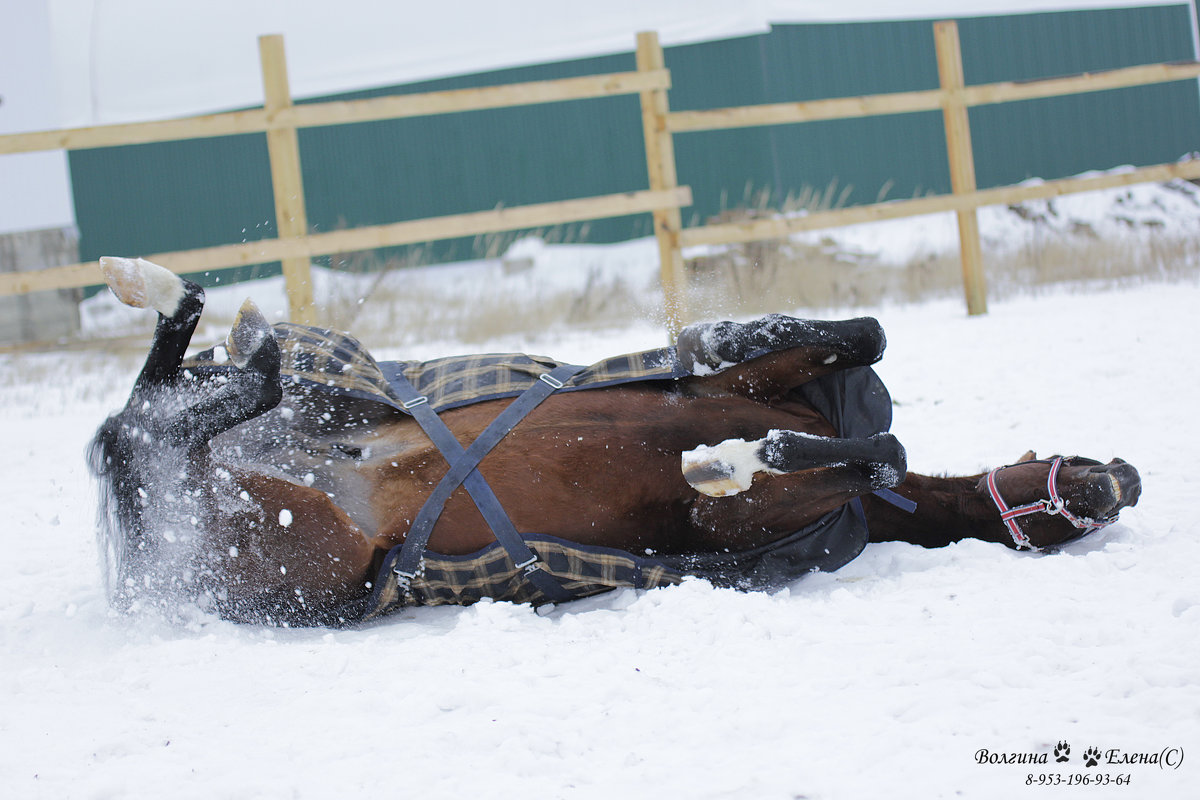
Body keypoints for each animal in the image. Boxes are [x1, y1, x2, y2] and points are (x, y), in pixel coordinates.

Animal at [88, 256, 1137, 623]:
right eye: (1074, 484)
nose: (1124, 477)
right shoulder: (740, 389)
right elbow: (864, 344)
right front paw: (731, 426)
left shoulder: (725, 532)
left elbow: (863, 454)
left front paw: (732, 460)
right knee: (146, 421)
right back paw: (179, 296)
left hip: (279, 528)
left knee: (142, 435)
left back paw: (205, 315)